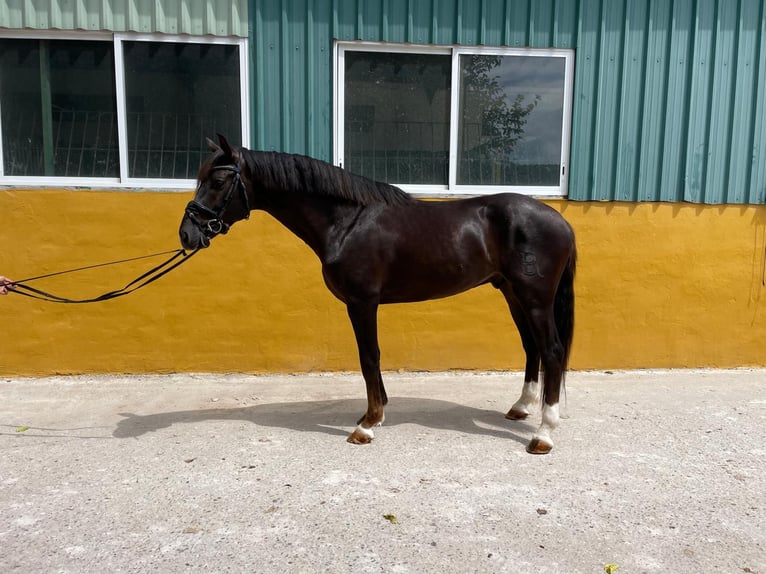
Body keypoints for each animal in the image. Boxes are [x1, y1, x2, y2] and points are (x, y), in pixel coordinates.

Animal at [179, 134, 577, 454]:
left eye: (218, 180)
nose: (187, 233)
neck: (347, 222)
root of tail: (561, 221)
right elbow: (370, 359)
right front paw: (376, 412)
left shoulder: (362, 303)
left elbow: (369, 357)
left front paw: (367, 425)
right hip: (513, 293)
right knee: (531, 347)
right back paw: (521, 408)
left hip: (535, 299)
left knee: (552, 351)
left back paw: (544, 434)